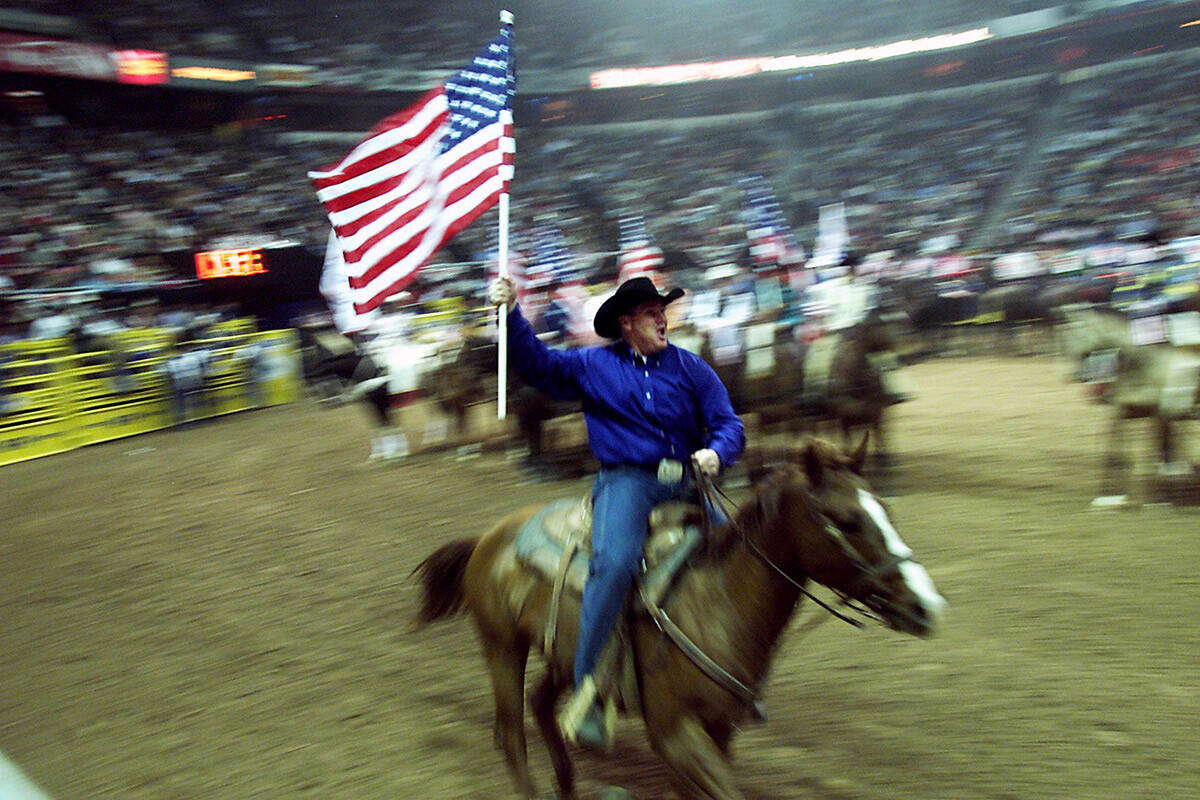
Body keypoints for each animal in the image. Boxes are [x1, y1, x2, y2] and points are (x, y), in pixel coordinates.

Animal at [412, 438, 945, 800]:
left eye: (886, 508)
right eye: (848, 520)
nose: (926, 605)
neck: (717, 603)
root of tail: (487, 537)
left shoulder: (718, 731)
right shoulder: (673, 733)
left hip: (563, 657)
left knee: (541, 705)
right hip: (501, 646)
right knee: (511, 734)